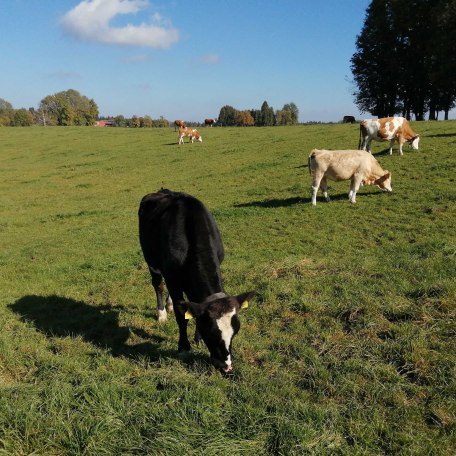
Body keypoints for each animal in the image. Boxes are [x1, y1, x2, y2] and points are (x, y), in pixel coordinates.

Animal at [137, 189, 255, 374]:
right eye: (211, 333)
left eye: (235, 332)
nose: (226, 366)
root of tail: (161, 191)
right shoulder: (171, 275)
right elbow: (181, 314)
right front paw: (184, 347)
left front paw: (197, 338)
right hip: (151, 261)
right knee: (158, 285)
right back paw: (162, 313)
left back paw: (169, 306)